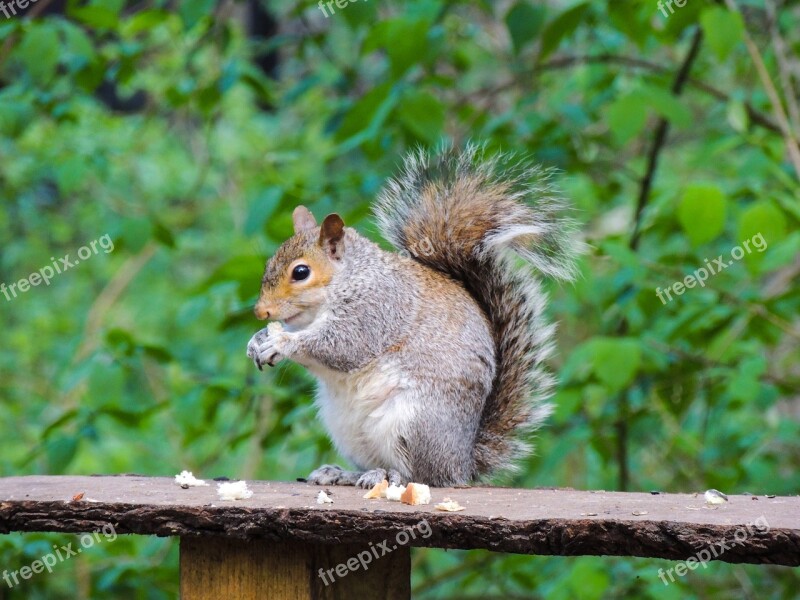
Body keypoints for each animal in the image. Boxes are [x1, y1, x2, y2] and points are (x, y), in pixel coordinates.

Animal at [247, 144, 580, 488]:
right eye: (269, 262)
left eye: (301, 272)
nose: (261, 311)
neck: (348, 279)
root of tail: (462, 464)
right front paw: (257, 340)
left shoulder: (377, 309)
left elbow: (342, 346)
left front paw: (281, 343)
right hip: (347, 429)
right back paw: (343, 473)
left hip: (413, 422)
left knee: (422, 476)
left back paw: (391, 476)